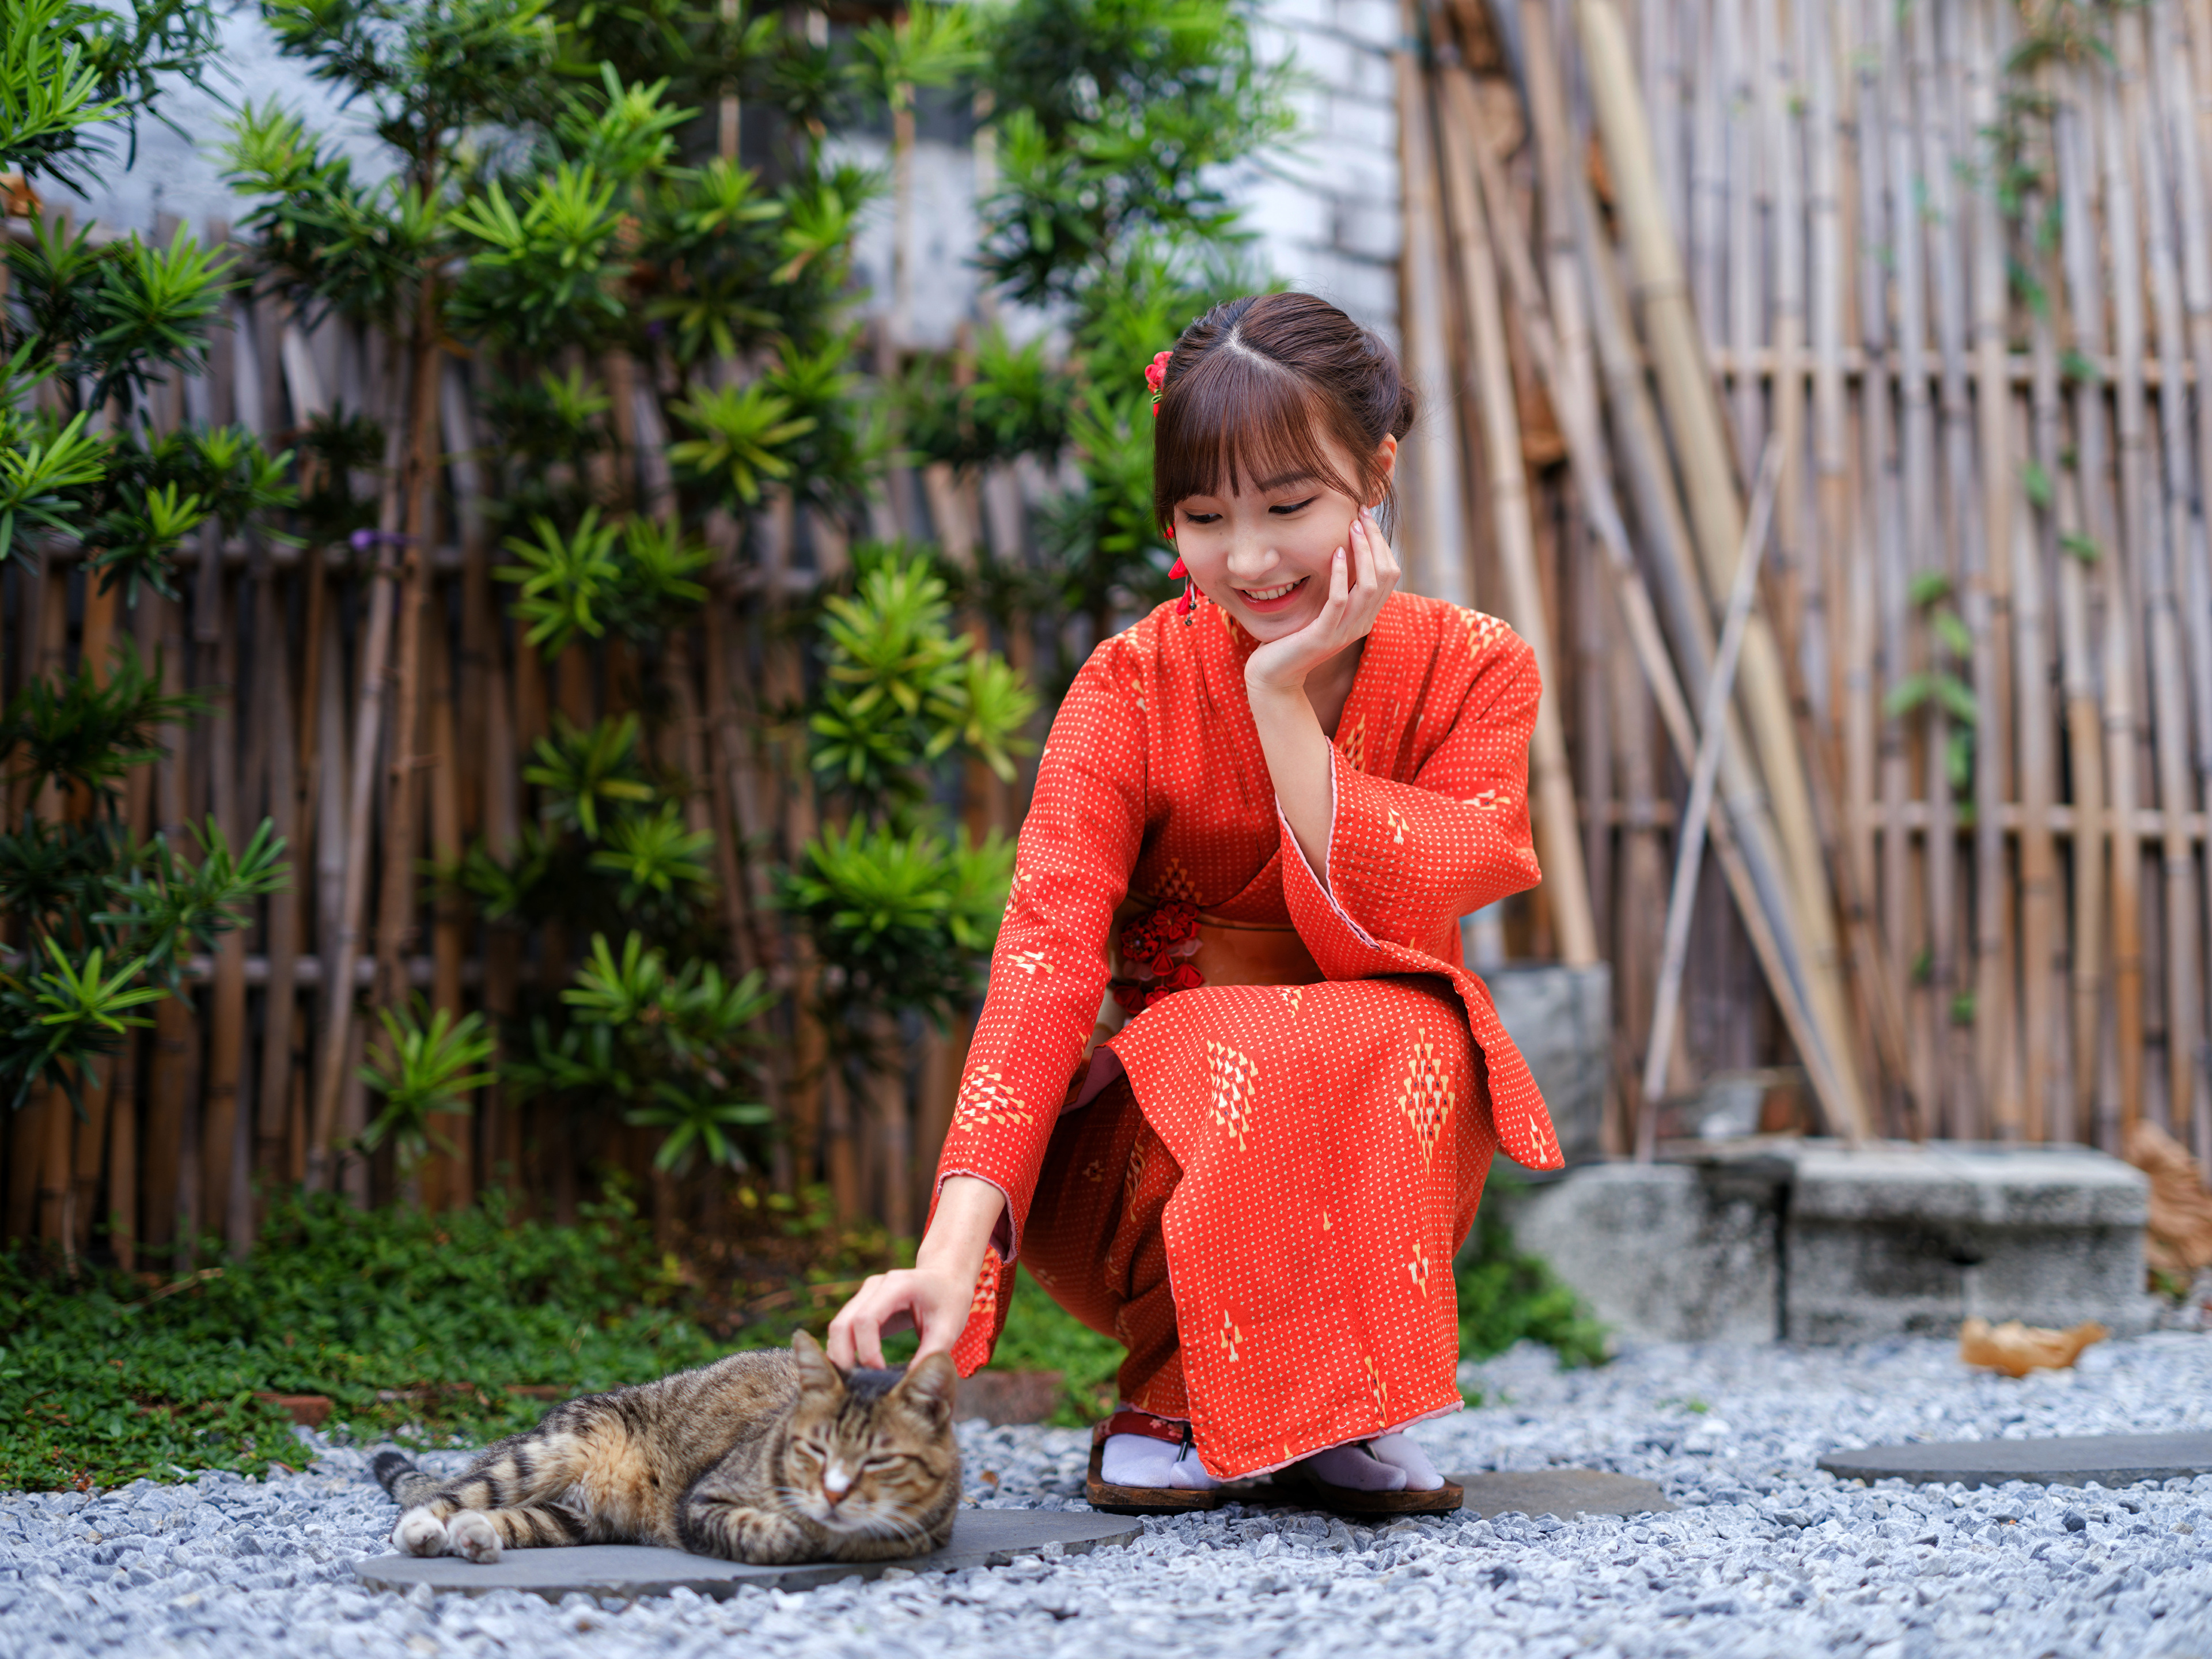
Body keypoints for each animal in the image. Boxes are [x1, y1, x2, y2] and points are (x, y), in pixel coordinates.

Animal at [373, 1336, 960, 1566]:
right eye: (813, 1450)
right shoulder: (702, 1501)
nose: (834, 1494)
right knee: (446, 1497)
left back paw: (475, 1538)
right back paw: (423, 1532)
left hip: (572, 1520)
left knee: (500, 1517)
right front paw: (795, 1533)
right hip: (547, 1452)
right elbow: (768, 1535)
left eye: (879, 1461)